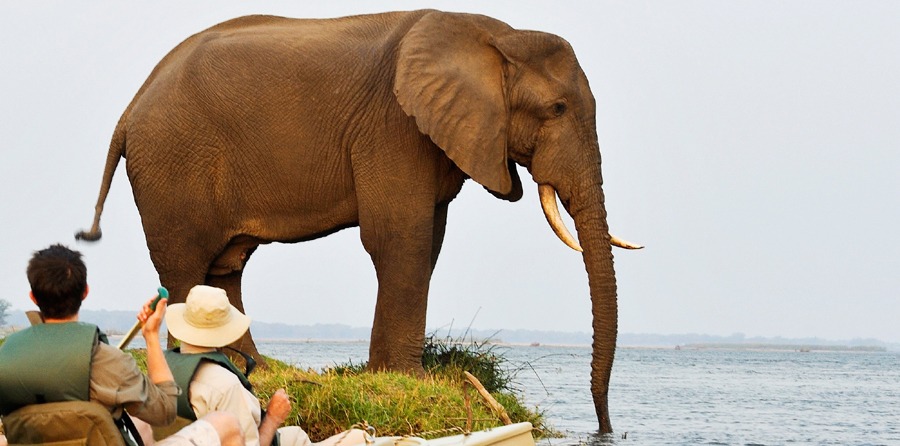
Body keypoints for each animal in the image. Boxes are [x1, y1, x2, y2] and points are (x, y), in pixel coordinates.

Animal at [75, 8, 640, 432]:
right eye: (557, 108)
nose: (605, 429)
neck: (496, 35)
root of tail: (129, 110)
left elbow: (428, 241)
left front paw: (392, 374)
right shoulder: (394, 126)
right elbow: (399, 238)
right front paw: (406, 379)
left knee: (223, 269)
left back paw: (253, 367)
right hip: (173, 168)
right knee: (189, 267)